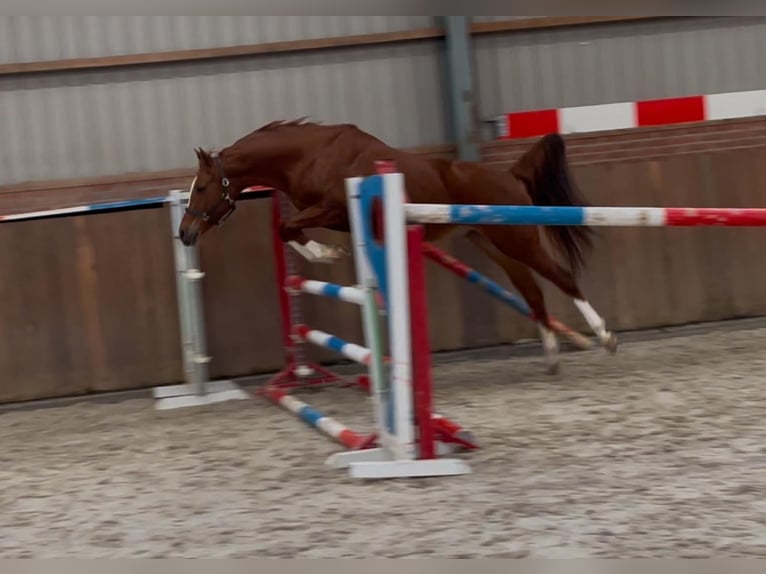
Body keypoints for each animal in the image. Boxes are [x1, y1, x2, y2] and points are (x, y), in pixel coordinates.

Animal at [183, 120, 620, 374]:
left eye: (201, 187)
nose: (185, 233)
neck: (313, 154)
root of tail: (511, 177)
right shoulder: (333, 216)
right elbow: (287, 229)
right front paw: (328, 254)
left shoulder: (333, 208)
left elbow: (288, 227)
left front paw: (327, 254)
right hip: (497, 247)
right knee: (532, 292)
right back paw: (552, 356)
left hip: (518, 240)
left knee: (561, 277)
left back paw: (604, 337)